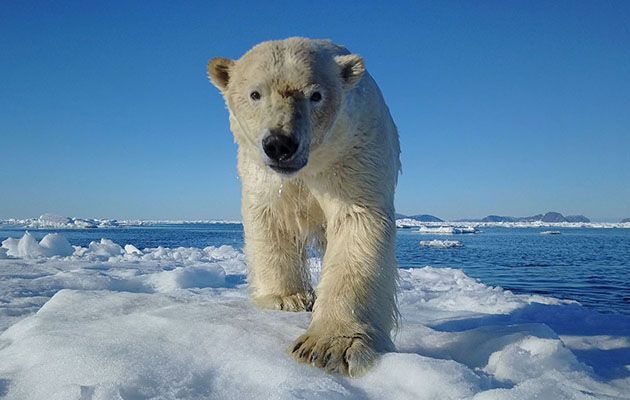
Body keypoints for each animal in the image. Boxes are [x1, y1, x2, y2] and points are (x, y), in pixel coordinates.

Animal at [210, 36, 402, 376]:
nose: (280, 144)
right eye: (255, 93)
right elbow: (270, 218)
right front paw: (287, 299)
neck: (313, 164)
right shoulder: (261, 172)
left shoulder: (354, 153)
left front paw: (328, 346)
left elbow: (356, 224)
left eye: (315, 95)